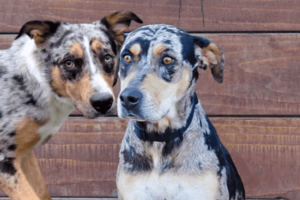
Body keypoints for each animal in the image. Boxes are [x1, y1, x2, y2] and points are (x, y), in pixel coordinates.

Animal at [0, 10, 142, 200]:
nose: (103, 102)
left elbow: (42, 192)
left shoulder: (24, 154)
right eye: (69, 62)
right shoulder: (5, 162)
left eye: (107, 57)